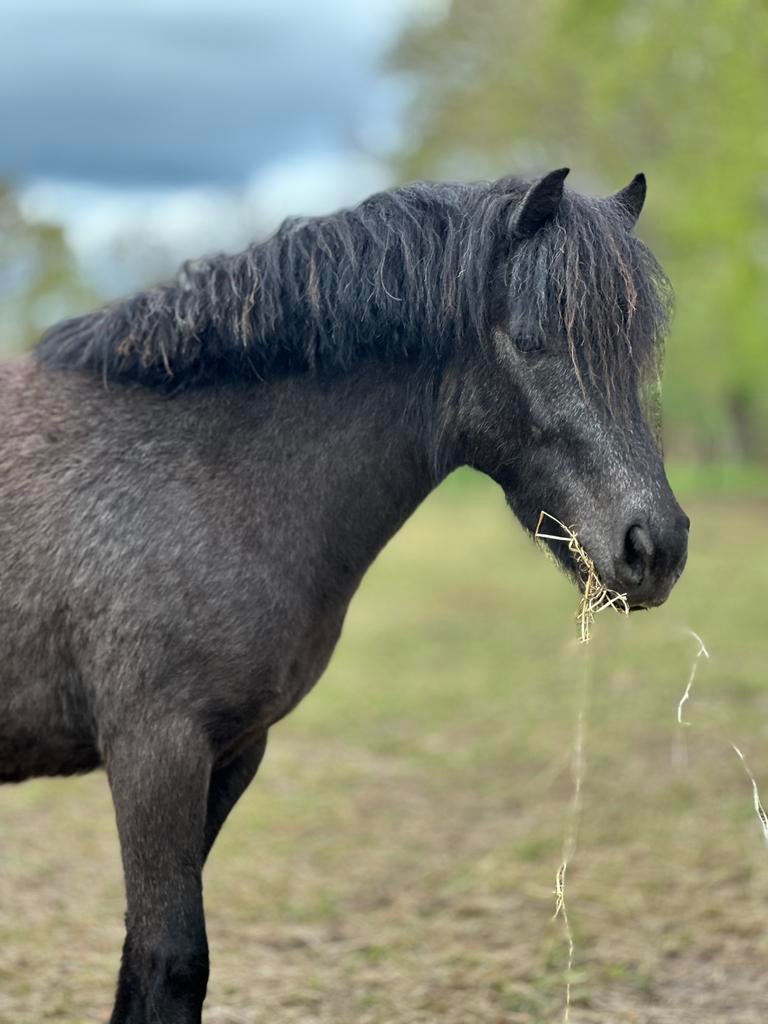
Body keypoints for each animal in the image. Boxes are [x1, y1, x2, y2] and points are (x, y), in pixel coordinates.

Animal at [0, 168, 689, 1022]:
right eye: (533, 340)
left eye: (636, 350)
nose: (656, 547)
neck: (193, 473)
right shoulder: (155, 751)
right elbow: (170, 960)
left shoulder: (232, 752)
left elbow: (143, 963)